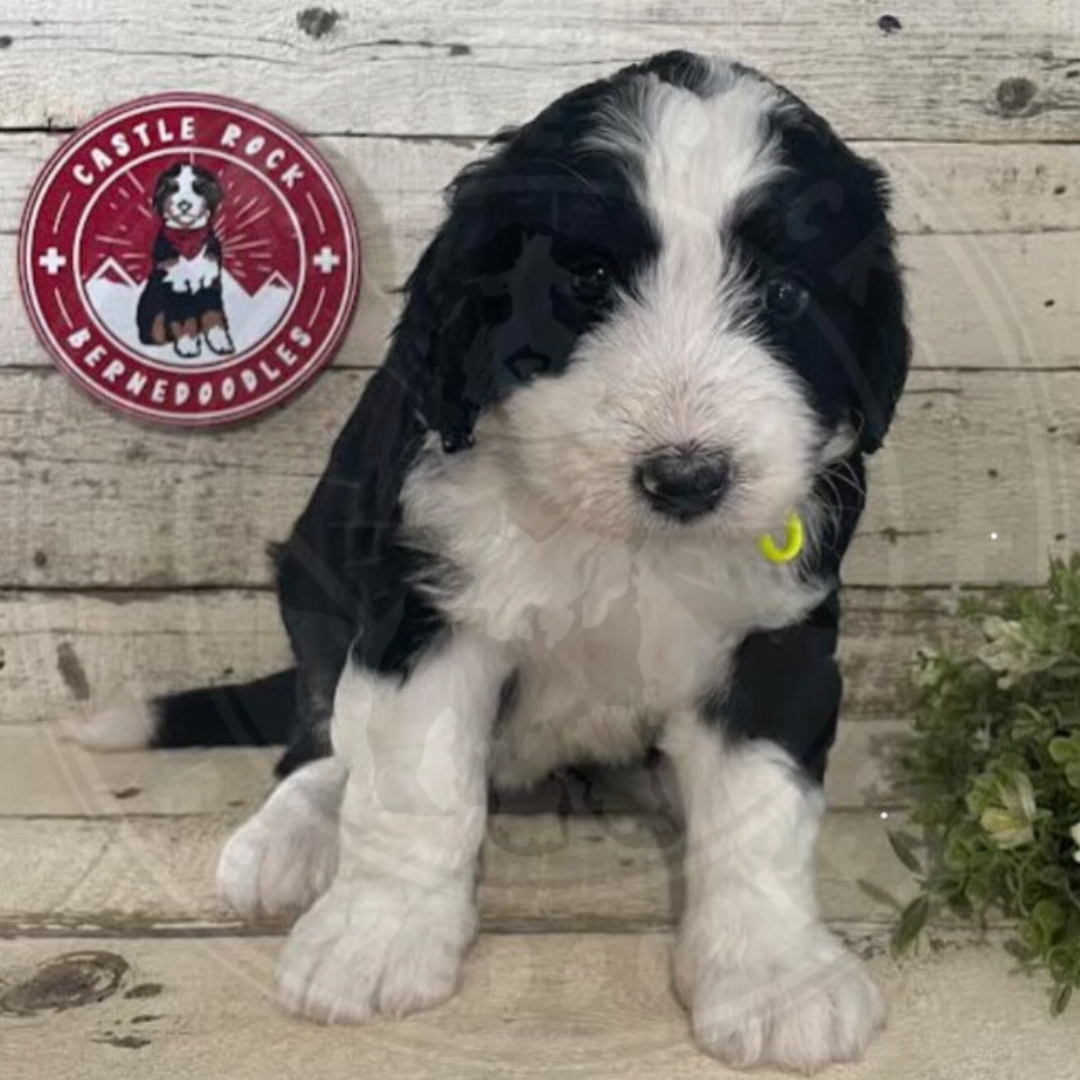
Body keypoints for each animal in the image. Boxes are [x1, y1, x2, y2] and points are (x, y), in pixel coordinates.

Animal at [79, 52, 911, 1071]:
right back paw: (292, 833)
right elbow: (413, 781)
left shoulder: (777, 633)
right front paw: (377, 939)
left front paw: (775, 975)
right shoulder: (430, 608)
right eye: (586, 279)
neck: (614, 539)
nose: (686, 478)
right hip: (315, 569)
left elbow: (761, 807)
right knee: (319, 728)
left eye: (788, 297)